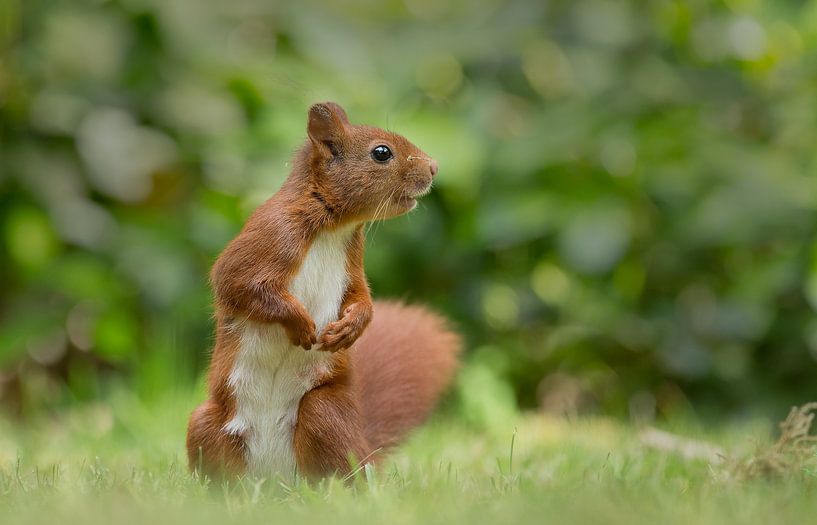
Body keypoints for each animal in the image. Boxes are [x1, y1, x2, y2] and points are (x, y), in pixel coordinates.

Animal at [187, 101, 462, 478]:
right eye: (381, 153)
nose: (433, 167)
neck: (334, 227)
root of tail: (274, 479)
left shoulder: (353, 261)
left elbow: (361, 297)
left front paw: (351, 327)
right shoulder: (272, 233)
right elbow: (237, 283)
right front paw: (300, 322)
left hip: (324, 412)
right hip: (205, 424)